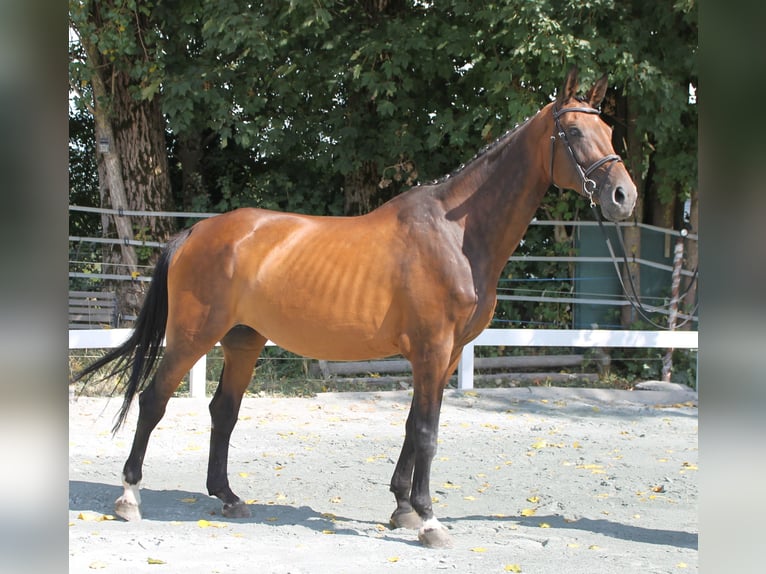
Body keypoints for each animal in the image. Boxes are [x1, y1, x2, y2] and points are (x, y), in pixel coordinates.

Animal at [72, 70, 640, 552]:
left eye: (609, 128)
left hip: (243, 340)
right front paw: (429, 520)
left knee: (223, 412)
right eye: (572, 130)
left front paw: (403, 510)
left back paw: (229, 498)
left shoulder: (446, 354)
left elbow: (413, 425)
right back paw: (129, 497)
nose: (623, 196)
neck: (455, 234)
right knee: (153, 401)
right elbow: (428, 432)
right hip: (192, 336)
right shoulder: (433, 349)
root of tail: (196, 232)